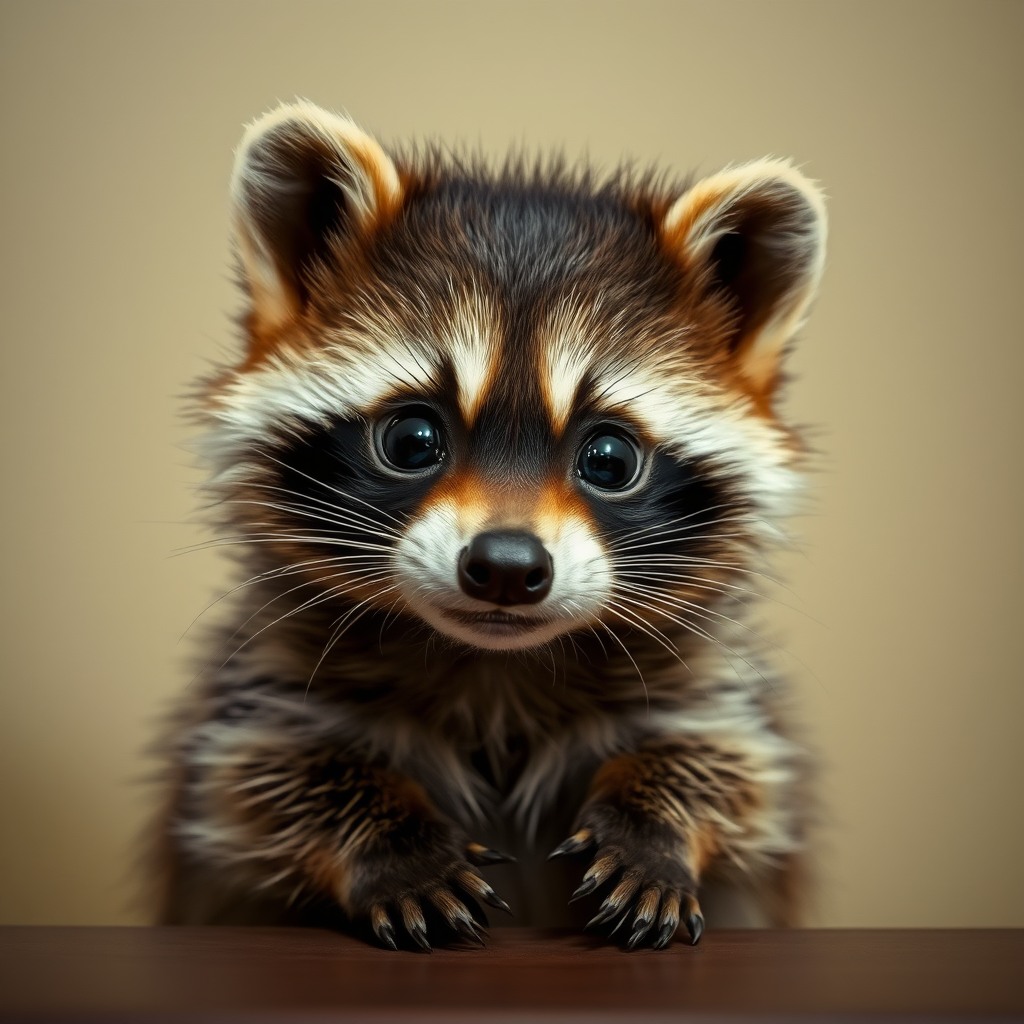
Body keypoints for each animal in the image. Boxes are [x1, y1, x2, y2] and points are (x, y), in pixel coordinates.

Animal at [153, 100, 827, 951]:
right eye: (413, 440)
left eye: (609, 458)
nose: (506, 566)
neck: (497, 665)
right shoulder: (256, 688)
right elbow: (266, 774)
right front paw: (393, 842)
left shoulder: (710, 686)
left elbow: (728, 763)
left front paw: (652, 823)